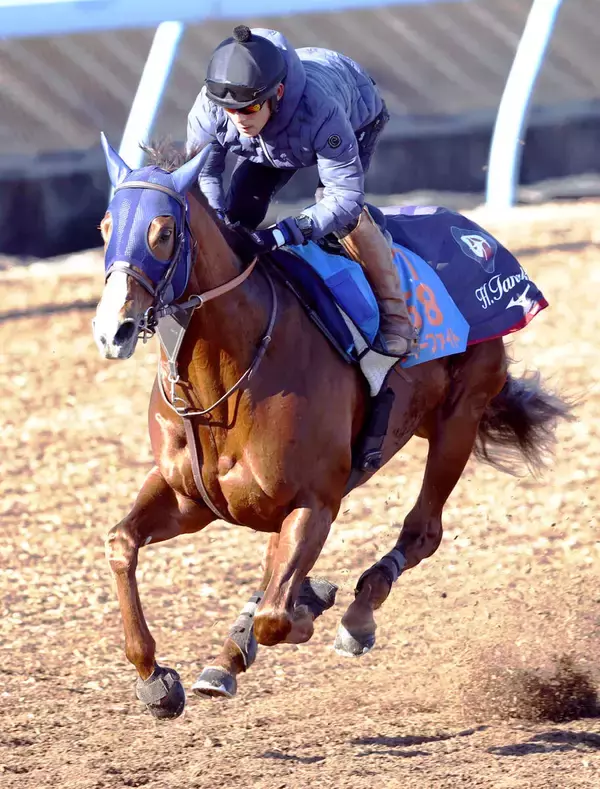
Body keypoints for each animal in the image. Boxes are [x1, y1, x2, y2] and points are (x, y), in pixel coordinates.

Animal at [92, 135, 572, 720]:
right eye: (106, 226)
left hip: (460, 417)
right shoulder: (190, 499)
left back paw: (354, 617)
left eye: (163, 232)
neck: (225, 381)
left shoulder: (315, 502)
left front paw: (306, 605)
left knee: (423, 531)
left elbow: (276, 618)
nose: (112, 329)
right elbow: (122, 543)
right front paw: (156, 678)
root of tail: (476, 238)